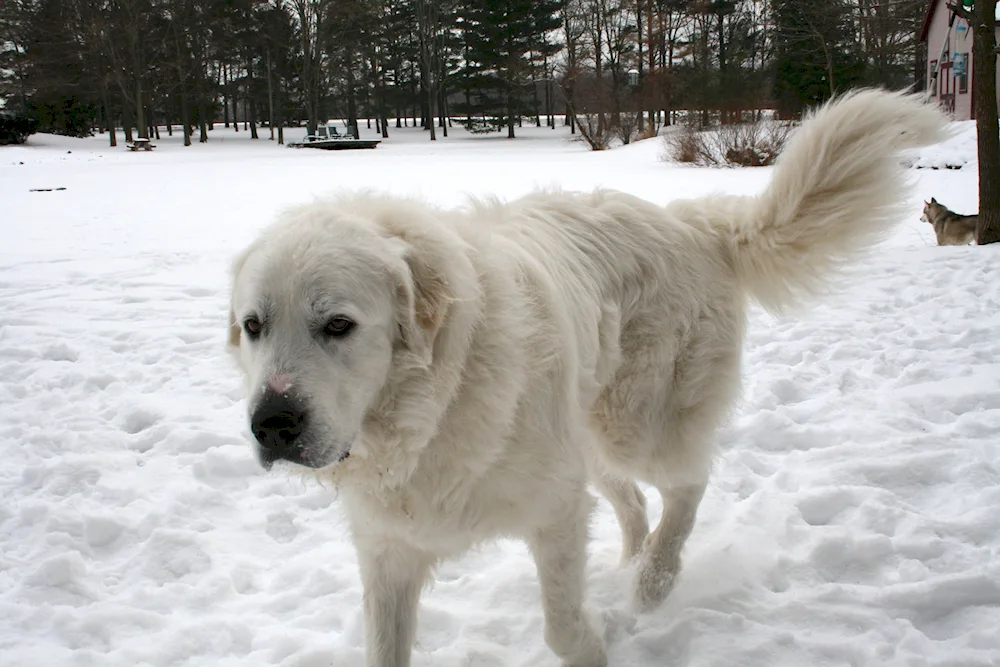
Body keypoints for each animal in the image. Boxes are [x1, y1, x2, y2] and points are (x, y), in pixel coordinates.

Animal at [227, 91, 944, 667]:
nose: (272, 425)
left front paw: (599, 639)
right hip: (592, 438)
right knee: (632, 503)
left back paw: (655, 579)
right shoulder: (390, 551)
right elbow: (385, 647)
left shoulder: (553, 512)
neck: (433, 406)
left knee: (687, 482)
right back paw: (633, 562)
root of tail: (690, 223)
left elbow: (564, 631)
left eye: (338, 325)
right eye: (254, 325)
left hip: (636, 424)